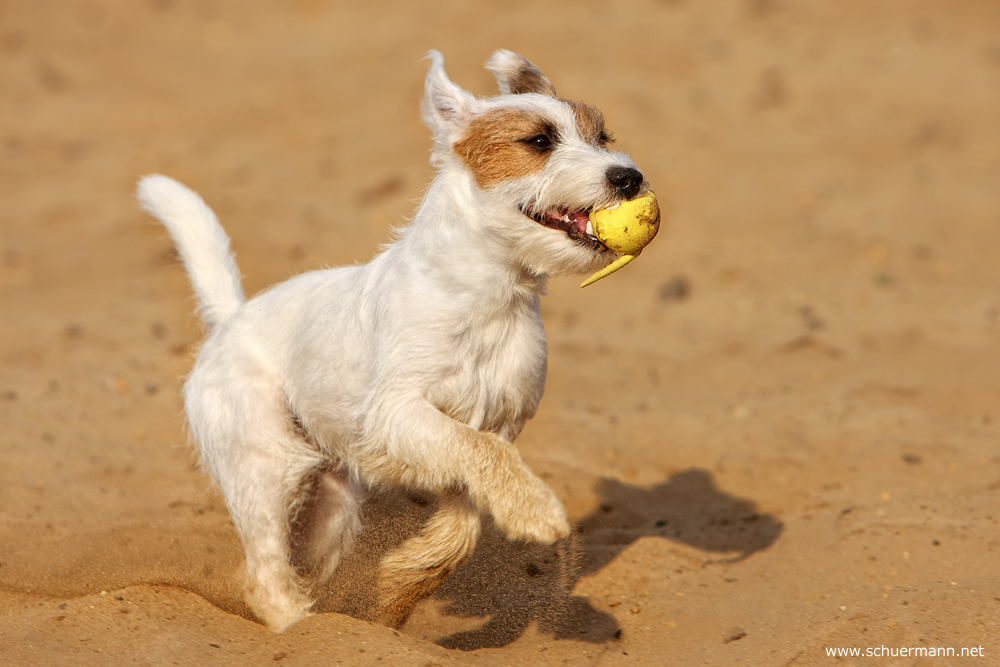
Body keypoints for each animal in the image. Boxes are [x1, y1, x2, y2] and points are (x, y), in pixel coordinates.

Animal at [141, 49, 652, 636]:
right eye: (540, 141)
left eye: (602, 136)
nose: (629, 177)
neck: (487, 294)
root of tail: (231, 319)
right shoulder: (400, 411)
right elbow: (484, 456)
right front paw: (537, 511)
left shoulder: (493, 423)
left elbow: (467, 514)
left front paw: (402, 583)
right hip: (266, 466)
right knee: (264, 576)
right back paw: (302, 627)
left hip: (332, 507)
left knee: (284, 565)